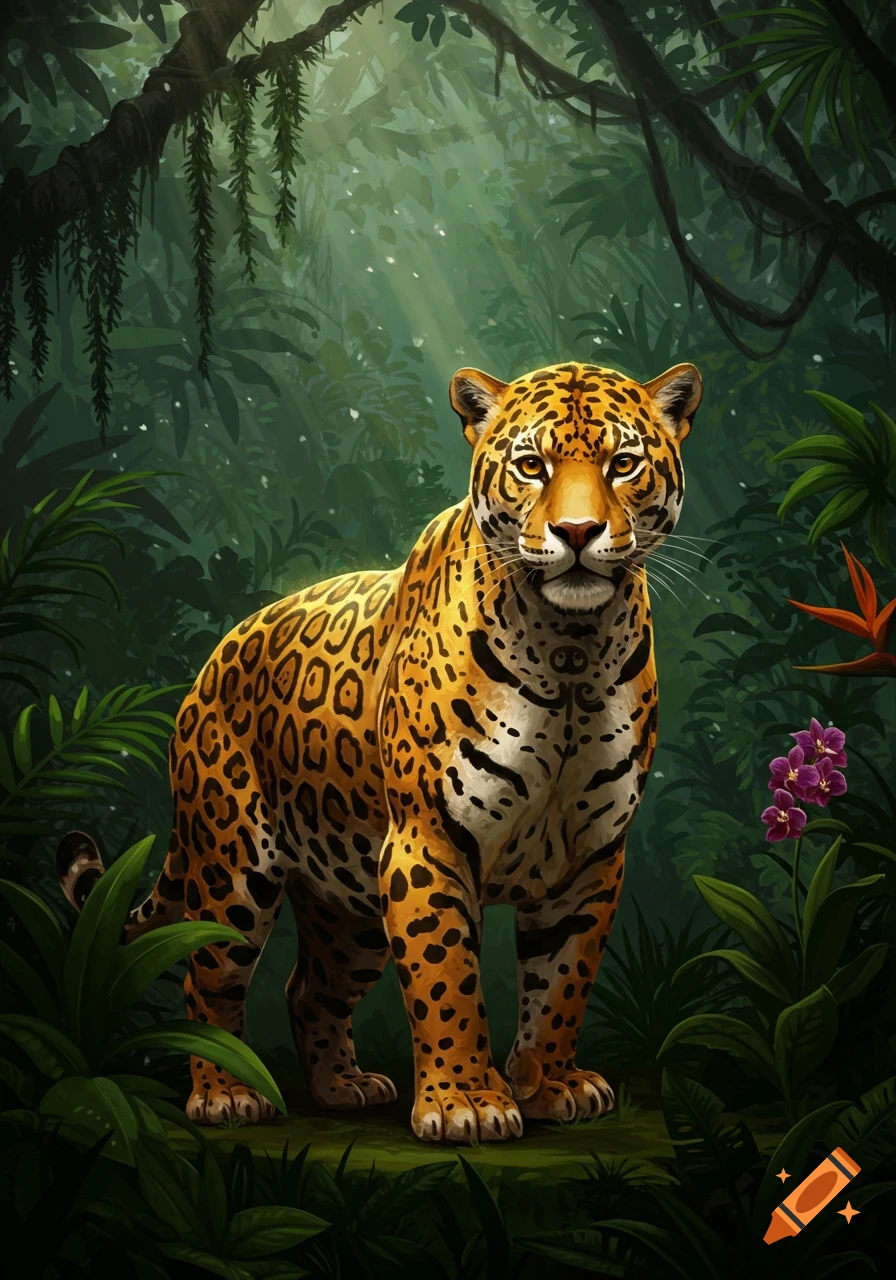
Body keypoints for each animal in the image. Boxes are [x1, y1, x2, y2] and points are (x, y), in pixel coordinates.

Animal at [58, 358, 703, 1144]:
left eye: (623, 464)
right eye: (531, 466)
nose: (577, 531)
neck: (571, 649)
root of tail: (212, 662)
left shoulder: (590, 859)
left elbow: (562, 983)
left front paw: (550, 1085)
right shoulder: (427, 841)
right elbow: (447, 977)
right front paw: (466, 1102)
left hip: (348, 895)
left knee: (308, 988)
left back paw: (343, 1086)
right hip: (232, 863)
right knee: (205, 974)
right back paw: (225, 1094)